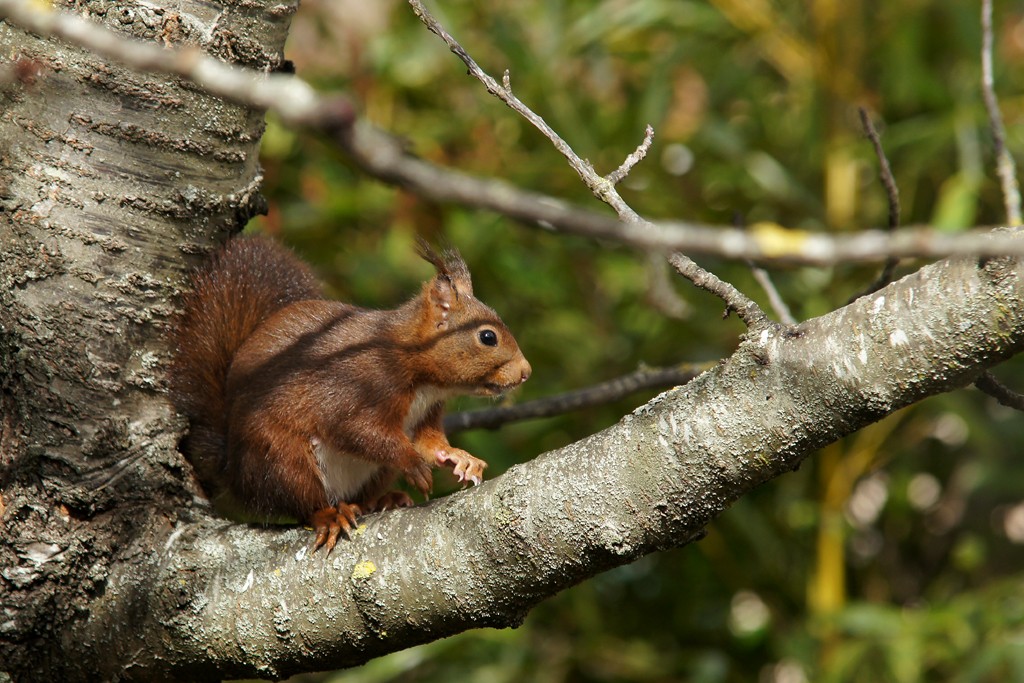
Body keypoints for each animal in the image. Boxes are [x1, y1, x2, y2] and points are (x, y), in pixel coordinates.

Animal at [171, 235, 532, 548]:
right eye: (487, 337)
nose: (526, 372)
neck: (422, 377)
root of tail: (234, 469)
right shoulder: (355, 387)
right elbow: (357, 431)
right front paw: (413, 464)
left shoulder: (427, 411)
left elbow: (430, 443)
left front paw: (461, 458)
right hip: (282, 458)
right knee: (302, 503)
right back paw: (330, 516)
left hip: (371, 474)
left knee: (359, 497)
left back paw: (385, 499)